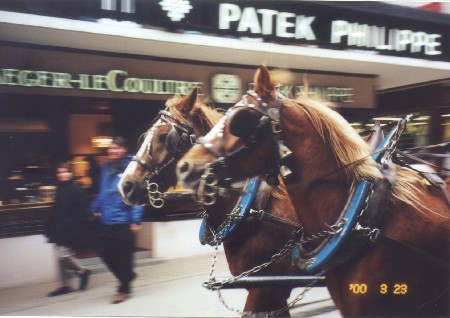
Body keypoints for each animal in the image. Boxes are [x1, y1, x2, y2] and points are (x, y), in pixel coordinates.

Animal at [118, 89, 304, 316]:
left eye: (164, 137)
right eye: (144, 137)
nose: (125, 185)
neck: (253, 210)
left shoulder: (269, 288)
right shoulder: (265, 288)